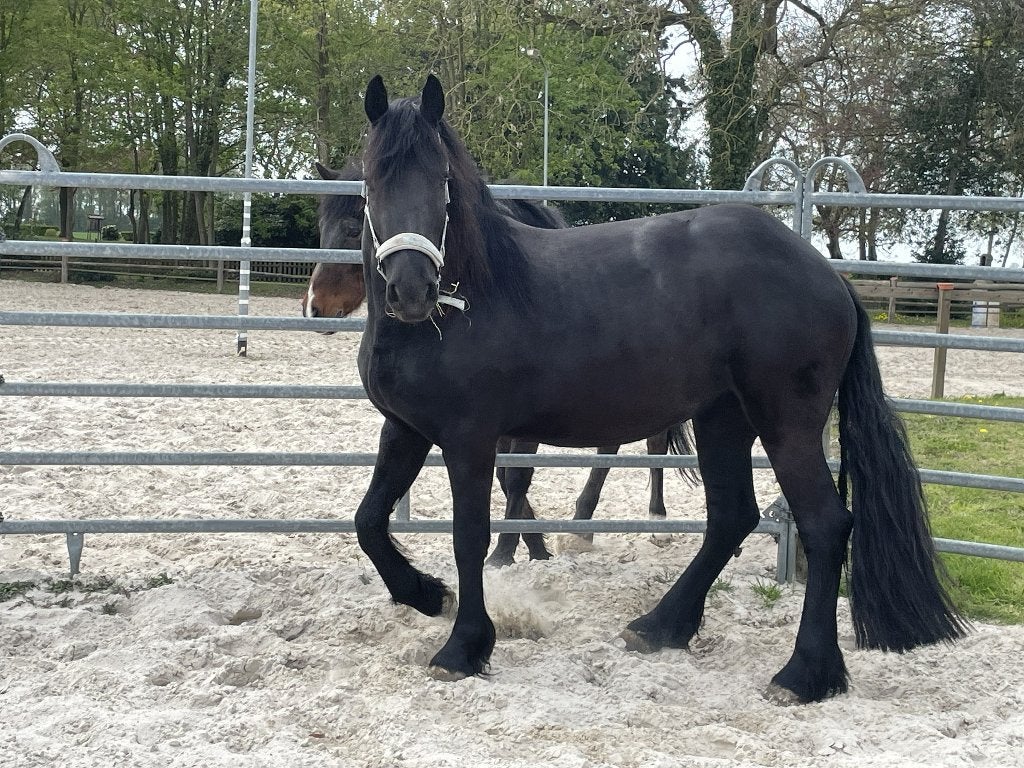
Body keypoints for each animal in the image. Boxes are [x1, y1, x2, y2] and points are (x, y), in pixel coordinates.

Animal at [307, 161, 689, 566]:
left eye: (351, 230)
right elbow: (506, 477)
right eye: (322, 228)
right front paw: (532, 545)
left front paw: (508, 552)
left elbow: (517, 476)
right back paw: (581, 527)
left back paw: (655, 521)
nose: (315, 307)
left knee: (652, 440)